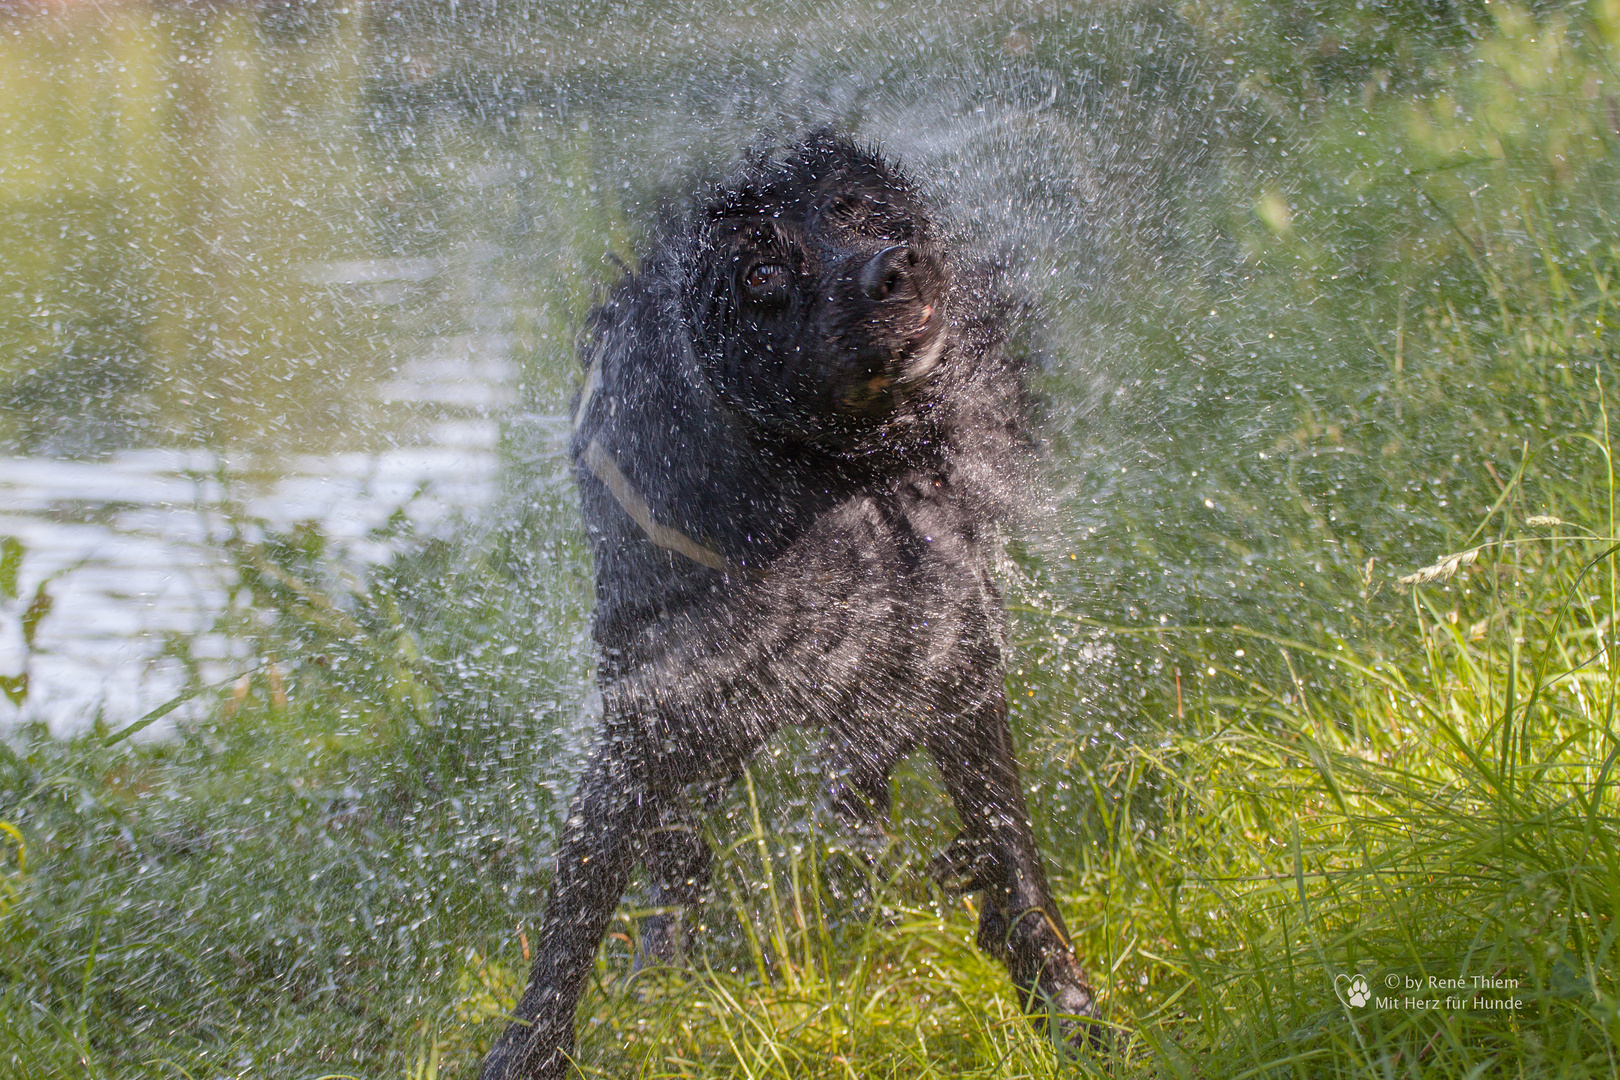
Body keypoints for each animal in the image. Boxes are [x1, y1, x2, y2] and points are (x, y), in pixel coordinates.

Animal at [473, 135, 1095, 1080]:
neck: (825, 488)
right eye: (760, 272)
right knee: (684, 853)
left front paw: (1069, 1012)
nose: (900, 265)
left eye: (859, 212)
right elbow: (577, 914)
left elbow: (1012, 858)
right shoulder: (652, 713)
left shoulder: (952, 657)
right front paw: (537, 1046)